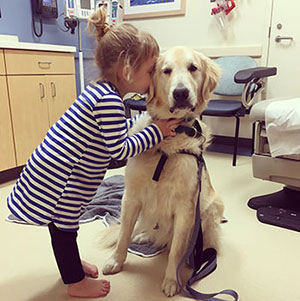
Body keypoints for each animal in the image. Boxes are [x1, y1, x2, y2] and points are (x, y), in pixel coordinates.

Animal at [102, 46, 224, 296]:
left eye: (192, 68)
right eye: (166, 71)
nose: (181, 93)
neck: (170, 139)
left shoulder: (186, 208)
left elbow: (176, 251)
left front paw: (170, 280)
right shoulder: (131, 197)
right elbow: (123, 234)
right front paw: (116, 260)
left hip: (211, 208)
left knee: (201, 245)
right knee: (153, 231)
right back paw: (143, 235)